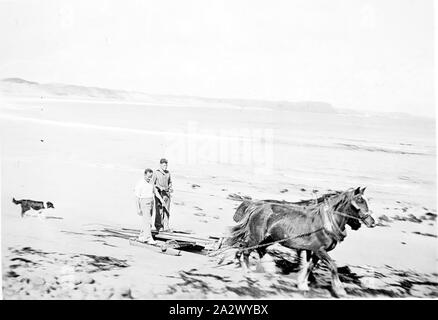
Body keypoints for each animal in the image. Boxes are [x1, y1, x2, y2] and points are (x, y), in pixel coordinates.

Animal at [228, 186, 374, 296]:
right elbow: (332, 266)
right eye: (359, 200)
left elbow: (309, 266)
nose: (372, 221)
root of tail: (256, 207)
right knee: (245, 251)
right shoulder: (319, 250)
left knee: (256, 250)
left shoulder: (315, 252)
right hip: (256, 237)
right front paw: (339, 290)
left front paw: (302, 284)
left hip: (268, 238)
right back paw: (248, 272)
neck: (325, 223)